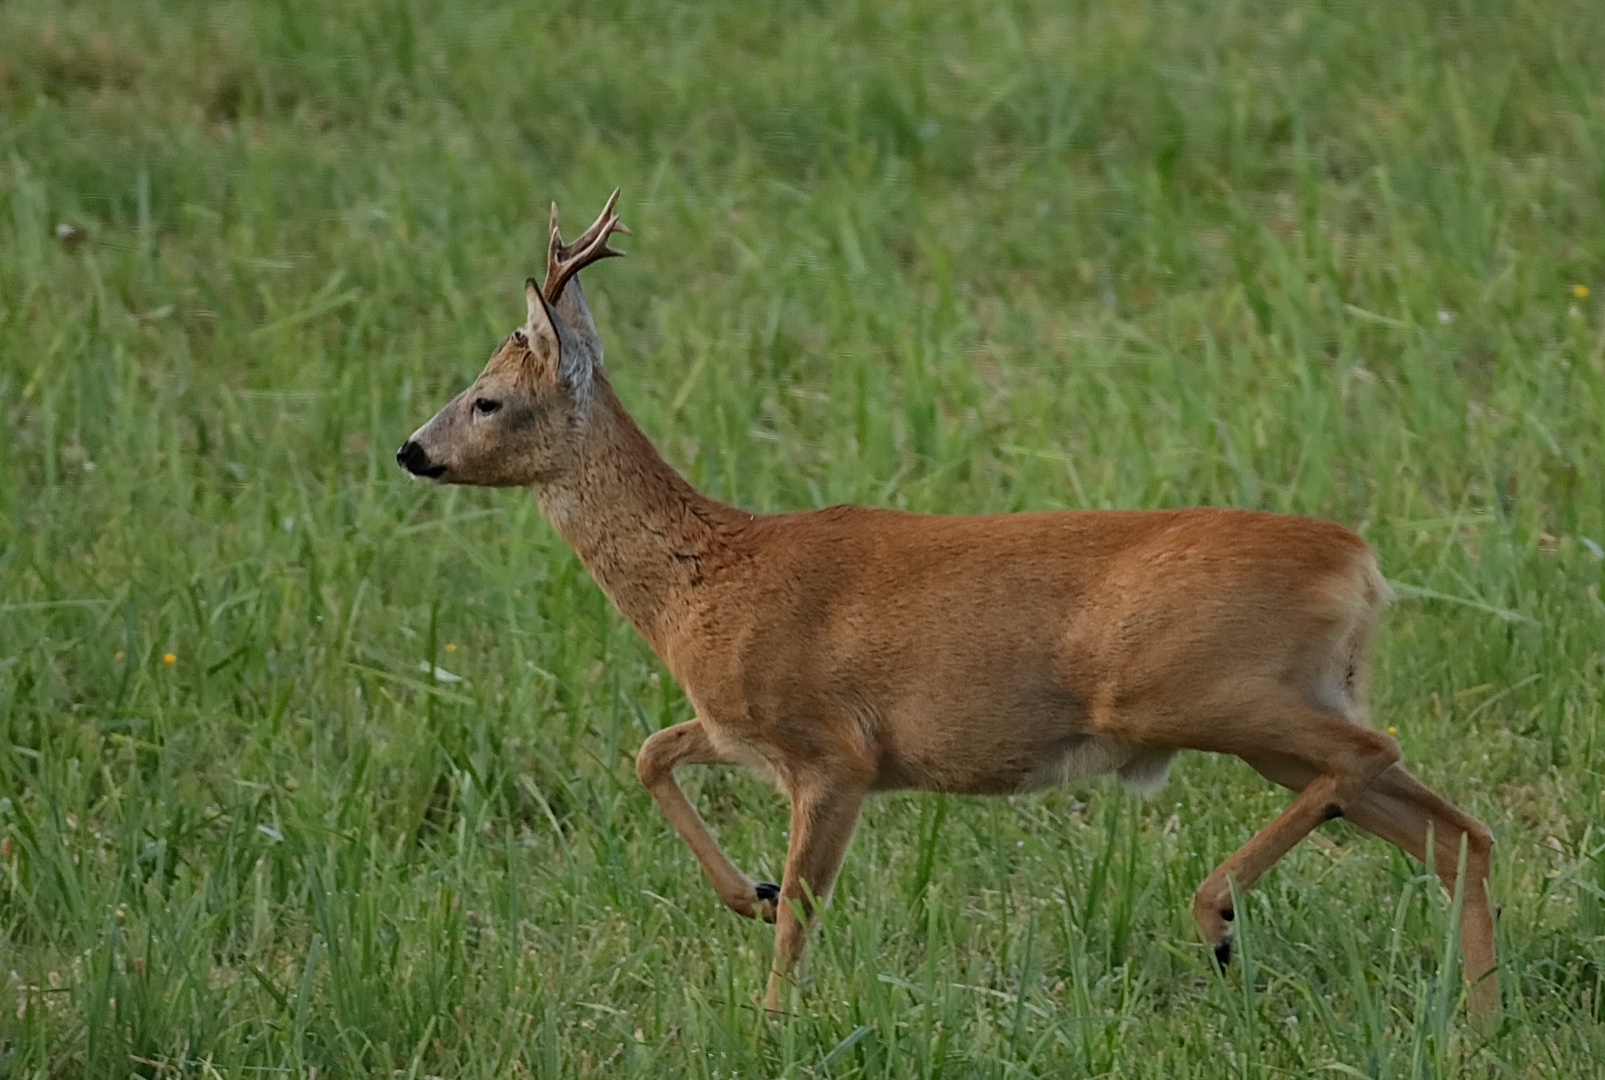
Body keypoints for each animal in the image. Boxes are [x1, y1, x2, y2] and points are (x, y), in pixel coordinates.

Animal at [394, 191, 1495, 1014]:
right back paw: (1475, 1017)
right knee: (1453, 829)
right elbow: (651, 753)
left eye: (488, 398)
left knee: (1378, 759)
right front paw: (746, 894)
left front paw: (772, 1016)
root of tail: (1359, 560)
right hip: (1283, 702)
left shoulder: (833, 750)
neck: (704, 578)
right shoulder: (743, 729)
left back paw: (1216, 916)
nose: (412, 450)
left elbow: (803, 909)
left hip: (1194, 688)